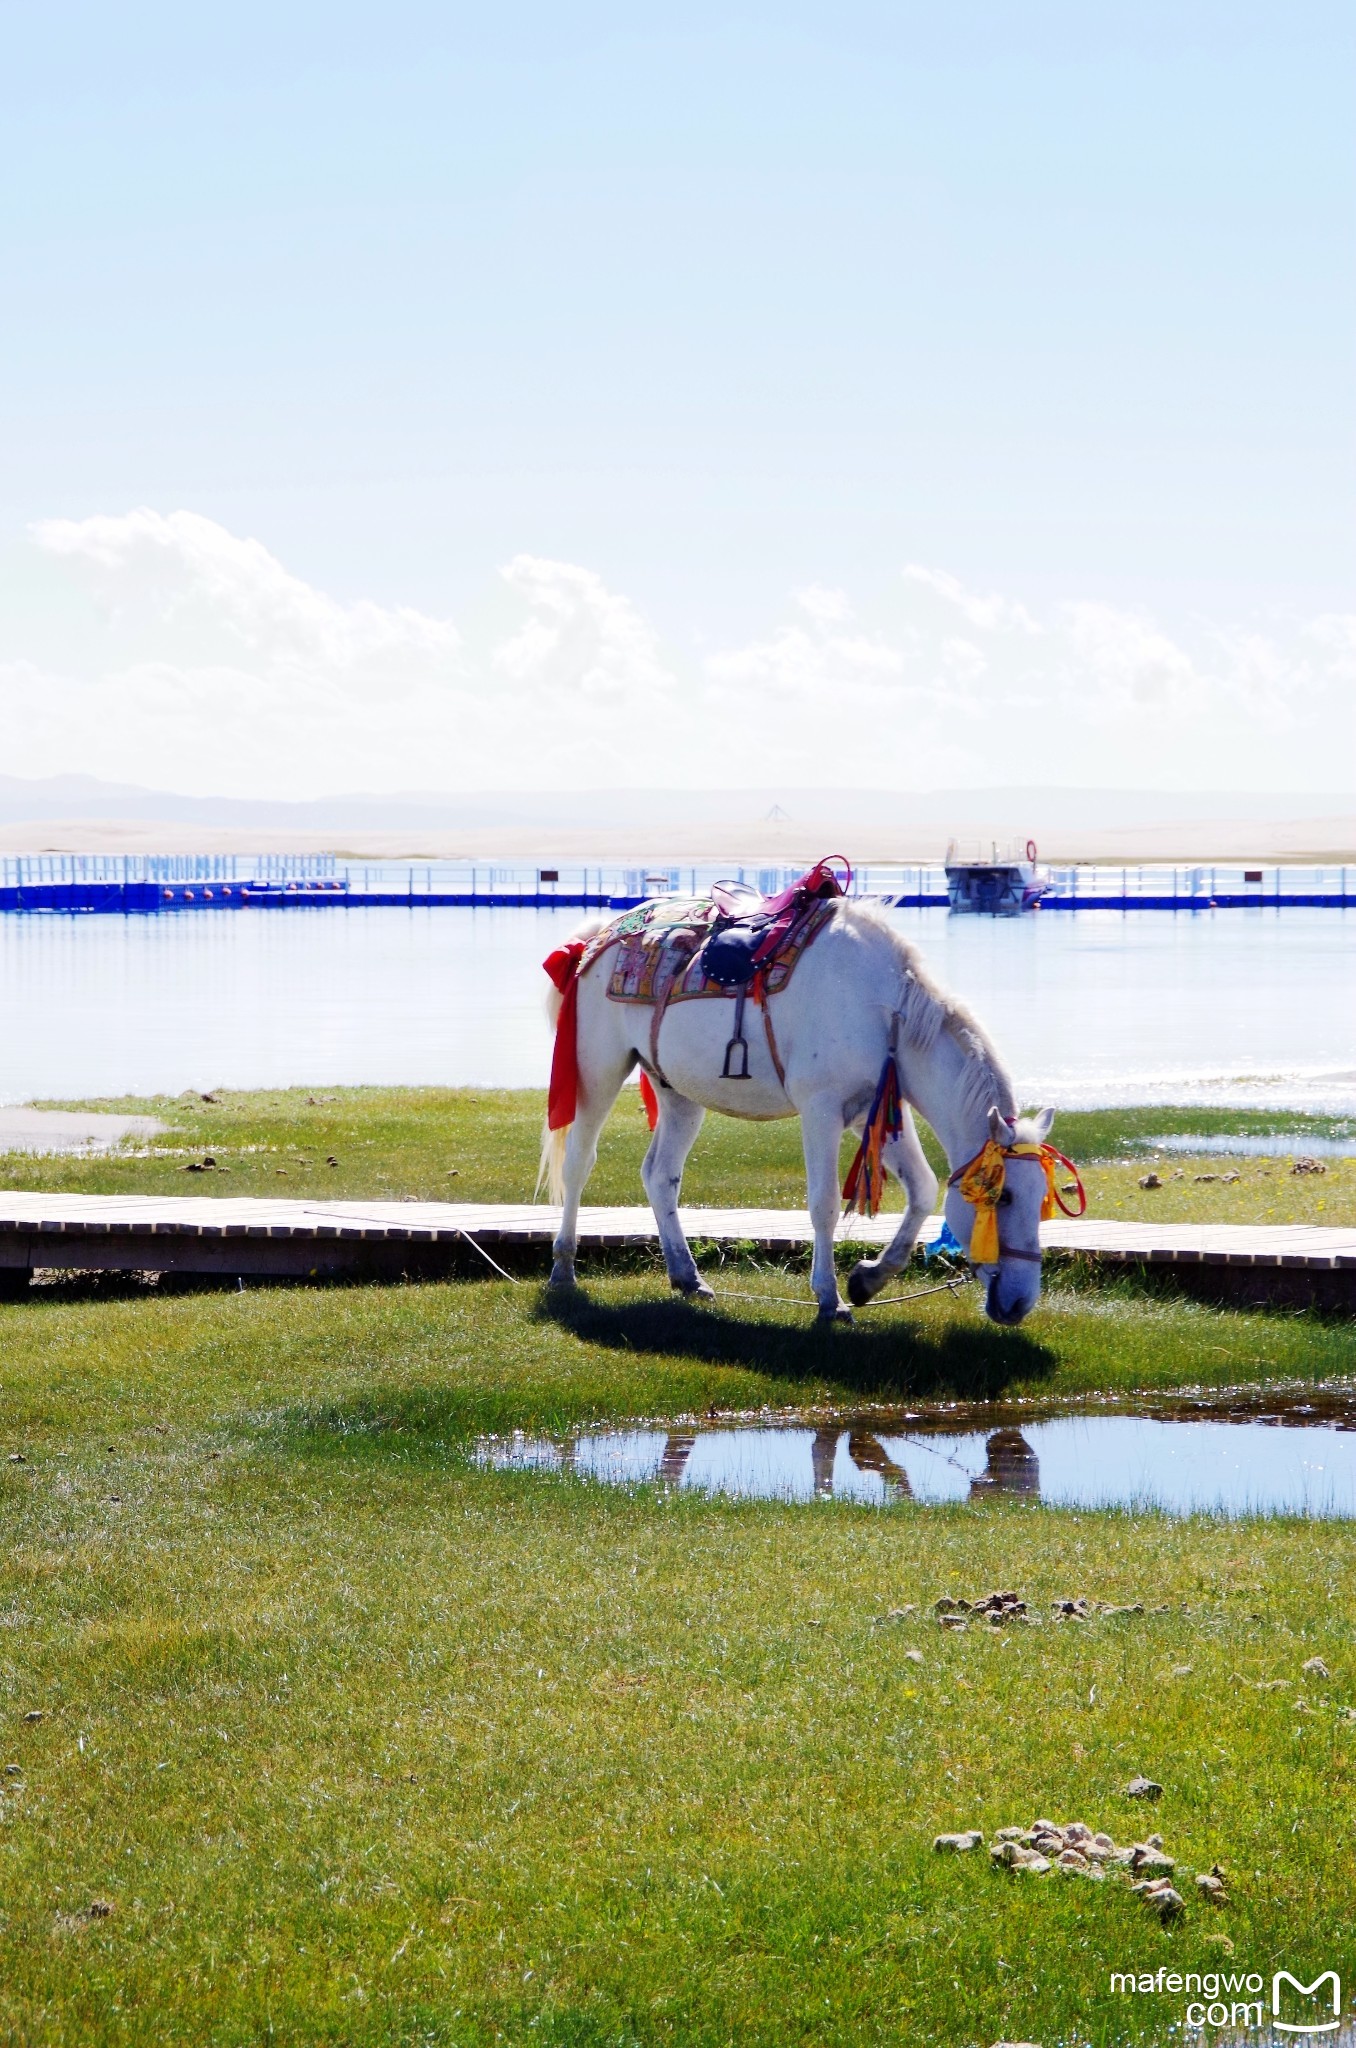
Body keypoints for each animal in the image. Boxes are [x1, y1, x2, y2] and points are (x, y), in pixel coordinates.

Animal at [544, 901, 1065, 1327]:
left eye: (1042, 1198)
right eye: (1004, 1197)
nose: (1019, 1304)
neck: (885, 1010)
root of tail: (596, 937)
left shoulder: (874, 1110)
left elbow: (922, 1188)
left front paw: (867, 1279)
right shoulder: (822, 1109)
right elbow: (825, 1204)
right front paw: (830, 1300)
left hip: (678, 1093)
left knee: (660, 1174)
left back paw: (687, 1276)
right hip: (598, 1070)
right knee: (578, 1165)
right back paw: (563, 1268)